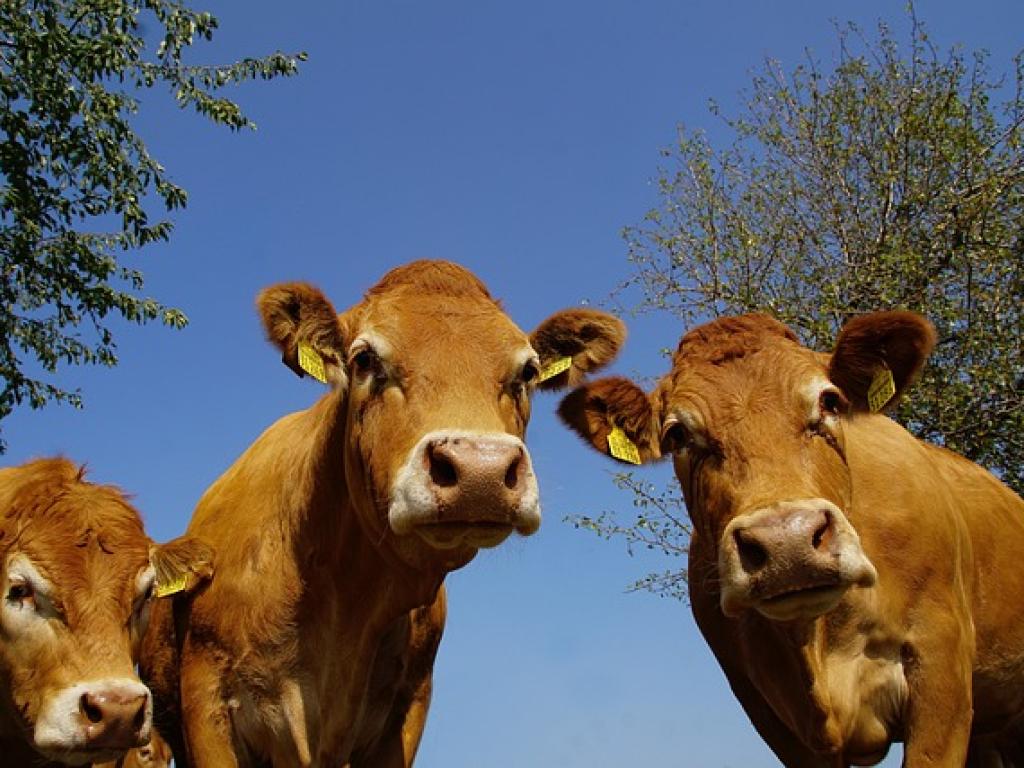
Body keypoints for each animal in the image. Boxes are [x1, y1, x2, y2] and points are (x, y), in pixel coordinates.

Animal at [561, 313, 1024, 768]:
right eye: (676, 434)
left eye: (830, 401)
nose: (788, 543)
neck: (823, 640)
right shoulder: (774, 717)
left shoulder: (941, 674)